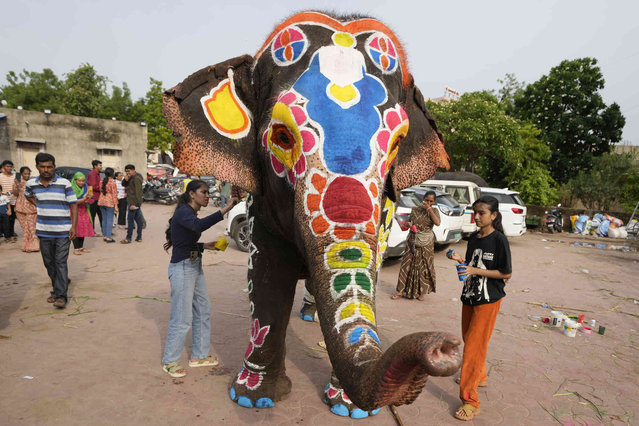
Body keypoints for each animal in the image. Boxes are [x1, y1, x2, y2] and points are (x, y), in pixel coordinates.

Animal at [164, 10, 464, 420]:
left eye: (397, 144)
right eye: (282, 137)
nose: (446, 348)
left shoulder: (386, 215)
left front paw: (348, 409)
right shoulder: (261, 206)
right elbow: (267, 278)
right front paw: (253, 398)